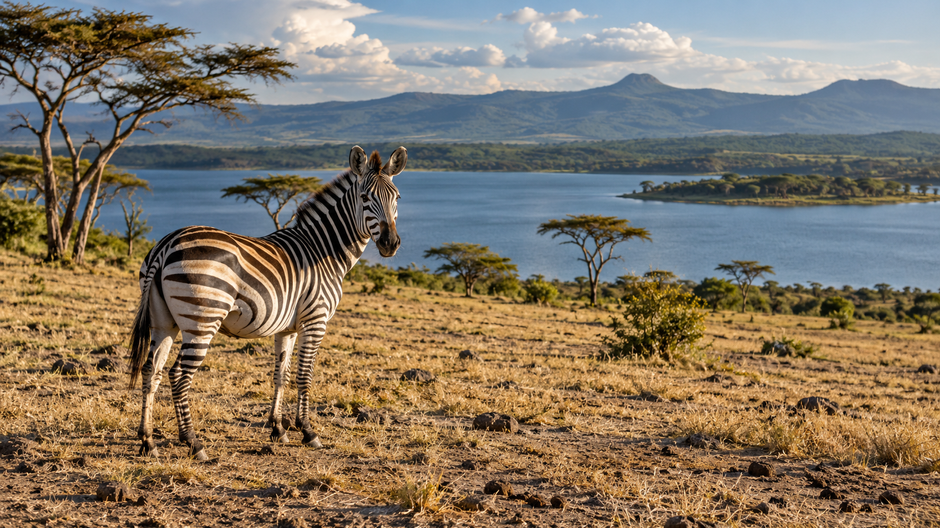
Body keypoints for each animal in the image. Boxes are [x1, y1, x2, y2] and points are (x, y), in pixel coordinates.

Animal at [128, 146, 405, 460]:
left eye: (396, 198)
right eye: (365, 198)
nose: (390, 244)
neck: (324, 249)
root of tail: (165, 245)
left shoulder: (287, 328)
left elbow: (280, 374)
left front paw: (278, 429)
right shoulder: (315, 320)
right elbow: (304, 375)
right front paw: (308, 432)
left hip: (163, 322)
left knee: (151, 371)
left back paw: (148, 442)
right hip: (202, 319)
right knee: (178, 375)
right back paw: (193, 442)